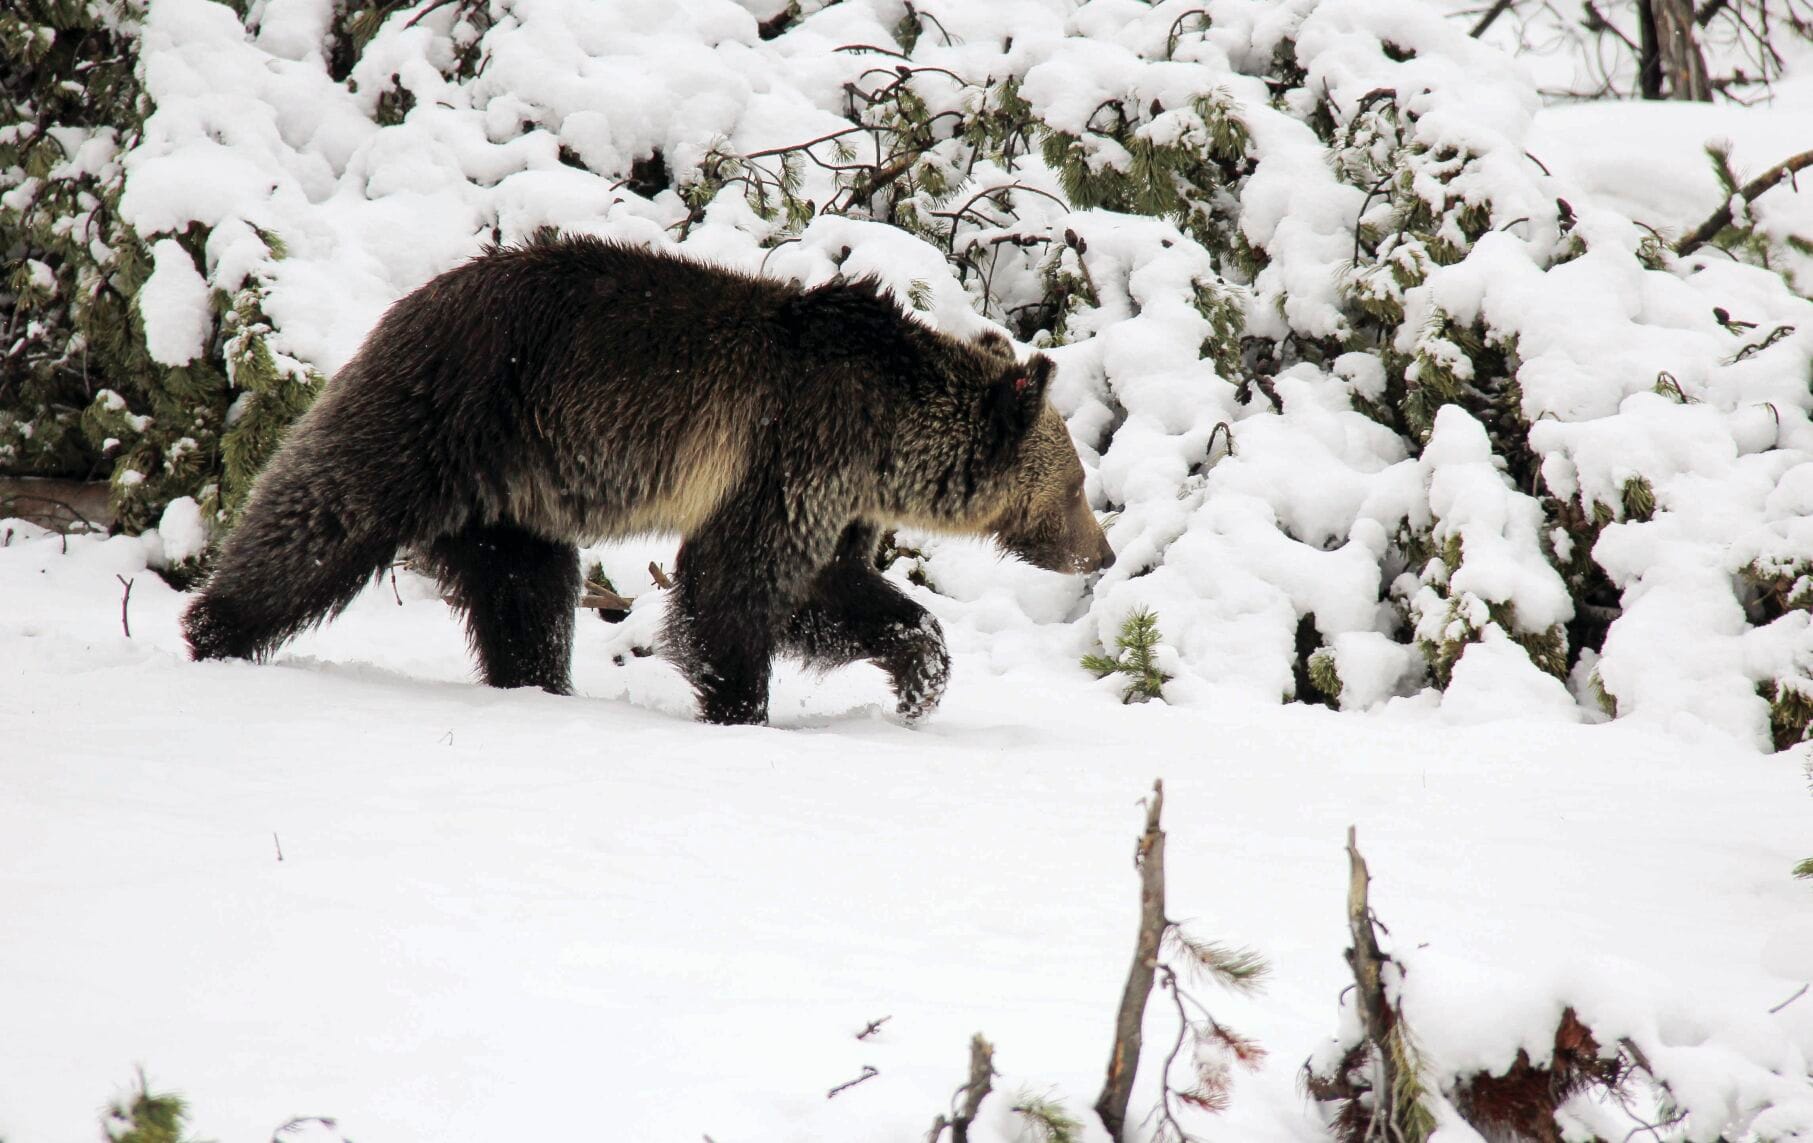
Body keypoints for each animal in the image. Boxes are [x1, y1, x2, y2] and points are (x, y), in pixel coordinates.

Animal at [182, 234, 1115, 725]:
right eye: (1074, 485)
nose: (1101, 555)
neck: (886, 433)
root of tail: (410, 298)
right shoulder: (791, 446)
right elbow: (731, 585)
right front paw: (741, 705)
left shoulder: (834, 493)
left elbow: (829, 592)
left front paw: (919, 676)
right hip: (448, 410)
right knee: (322, 516)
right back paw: (214, 631)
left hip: (513, 497)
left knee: (525, 591)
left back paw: (538, 683)